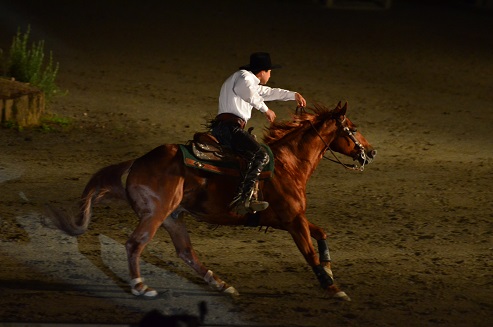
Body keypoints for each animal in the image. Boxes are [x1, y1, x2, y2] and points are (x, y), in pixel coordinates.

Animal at [48, 102, 374, 302]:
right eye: (353, 126)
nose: (371, 152)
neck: (288, 164)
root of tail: (137, 162)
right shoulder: (293, 221)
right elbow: (309, 254)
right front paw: (333, 287)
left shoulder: (291, 218)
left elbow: (321, 234)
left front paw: (329, 271)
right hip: (156, 215)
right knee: (135, 244)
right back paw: (141, 286)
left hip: (173, 217)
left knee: (186, 252)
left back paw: (220, 283)